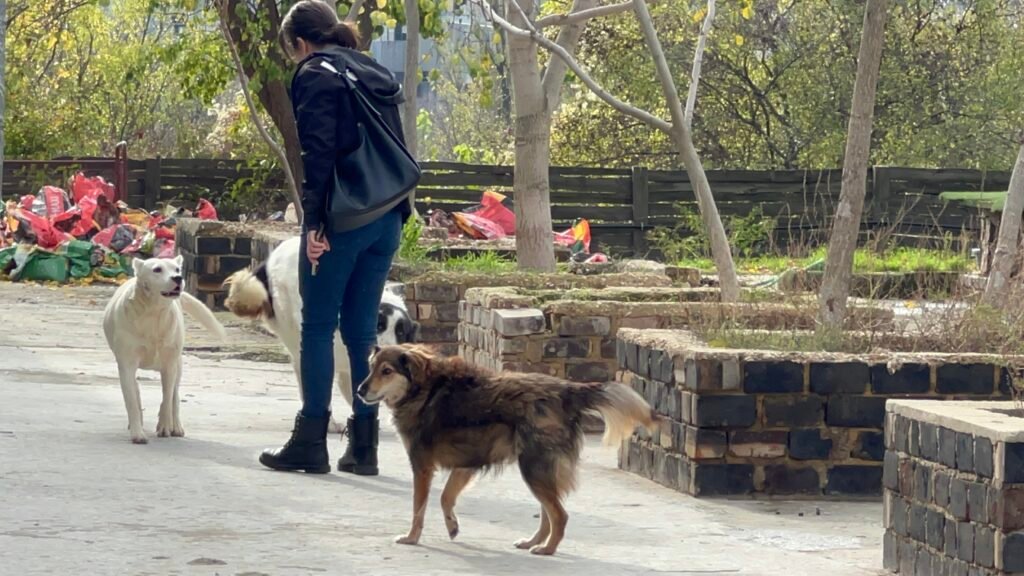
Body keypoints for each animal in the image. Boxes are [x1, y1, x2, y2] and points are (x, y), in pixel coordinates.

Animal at [103, 255, 227, 444]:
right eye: (157, 269)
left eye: (177, 269)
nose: (178, 278)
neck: (154, 313)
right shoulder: (127, 363)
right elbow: (132, 400)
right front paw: (137, 432)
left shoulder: (169, 364)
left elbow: (167, 398)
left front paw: (165, 426)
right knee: (137, 390)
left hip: (178, 364)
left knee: (174, 395)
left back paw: (176, 426)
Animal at [358, 344, 658, 556]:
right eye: (371, 367)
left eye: (387, 371)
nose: (360, 391)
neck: (422, 388)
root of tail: (564, 390)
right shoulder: (466, 464)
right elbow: (446, 497)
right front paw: (452, 526)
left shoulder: (422, 466)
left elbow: (418, 508)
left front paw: (411, 537)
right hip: (538, 470)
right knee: (548, 514)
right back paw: (533, 542)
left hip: (534, 468)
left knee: (559, 515)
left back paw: (548, 549)